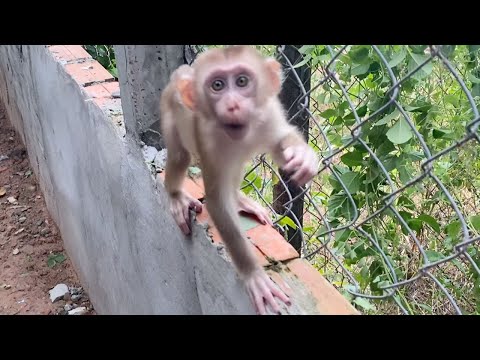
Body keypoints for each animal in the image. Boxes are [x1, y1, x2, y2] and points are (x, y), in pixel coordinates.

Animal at [160, 45, 318, 316]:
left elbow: (280, 143)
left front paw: (301, 155)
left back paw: (241, 200)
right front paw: (254, 275)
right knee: (181, 156)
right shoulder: (209, 139)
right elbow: (217, 201)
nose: (233, 104)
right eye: (217, 85)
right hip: (169, 107)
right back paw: (176, 195)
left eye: (242, 81)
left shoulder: (270, 112)